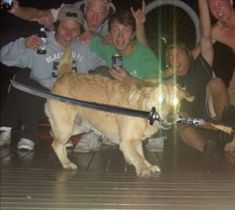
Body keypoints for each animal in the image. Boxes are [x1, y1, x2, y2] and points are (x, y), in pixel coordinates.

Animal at [45, 48, 194, 177]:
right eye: (161, 99)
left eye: (177, 101)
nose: (172, 118)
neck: (142, 110)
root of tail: (63, 76)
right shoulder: (126, 143)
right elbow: (138, 157)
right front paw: (143, 169)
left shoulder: (136, 141)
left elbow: (141, 155)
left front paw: (149, 166)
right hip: (65, 128)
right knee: (55, 144)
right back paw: (66, 163)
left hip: (79, 127)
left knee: (57, 141)